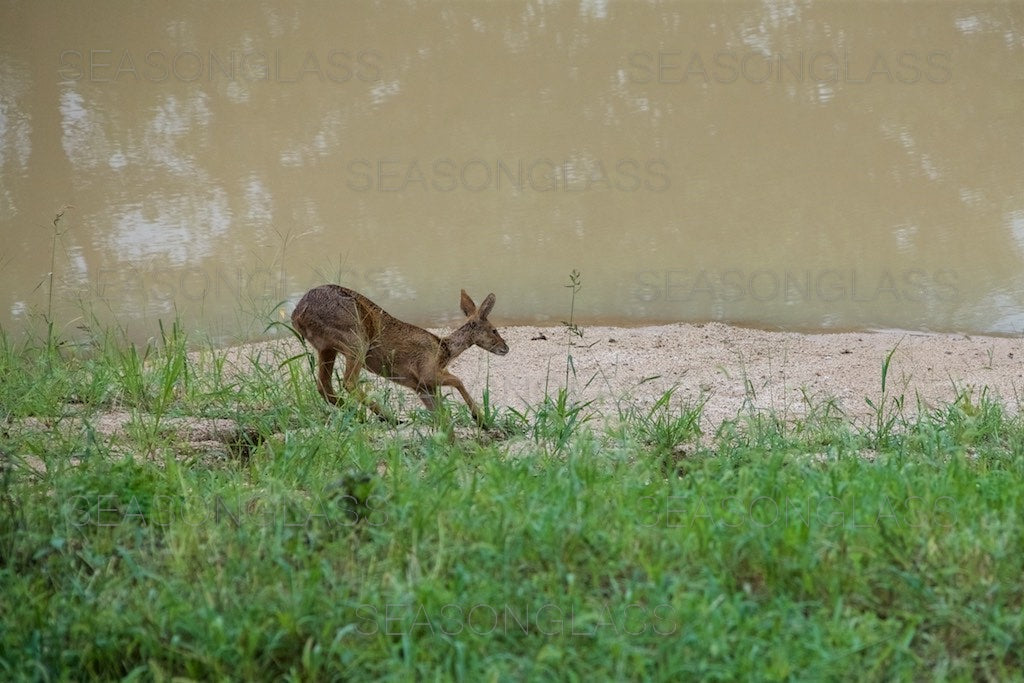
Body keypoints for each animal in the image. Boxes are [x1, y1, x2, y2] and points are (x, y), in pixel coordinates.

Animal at [292, 284, 507, 423]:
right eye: (494, 330)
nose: (506, 347)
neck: (443, 350)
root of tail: (298, 314)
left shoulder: (421, 386)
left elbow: (440, 414)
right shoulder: (427, 373)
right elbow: (458, 381)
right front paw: (480, 419)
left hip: (327, 347)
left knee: (324, 384)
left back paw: (358, 415)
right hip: (355, 339)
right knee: (348, 382)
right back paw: (387, 417)